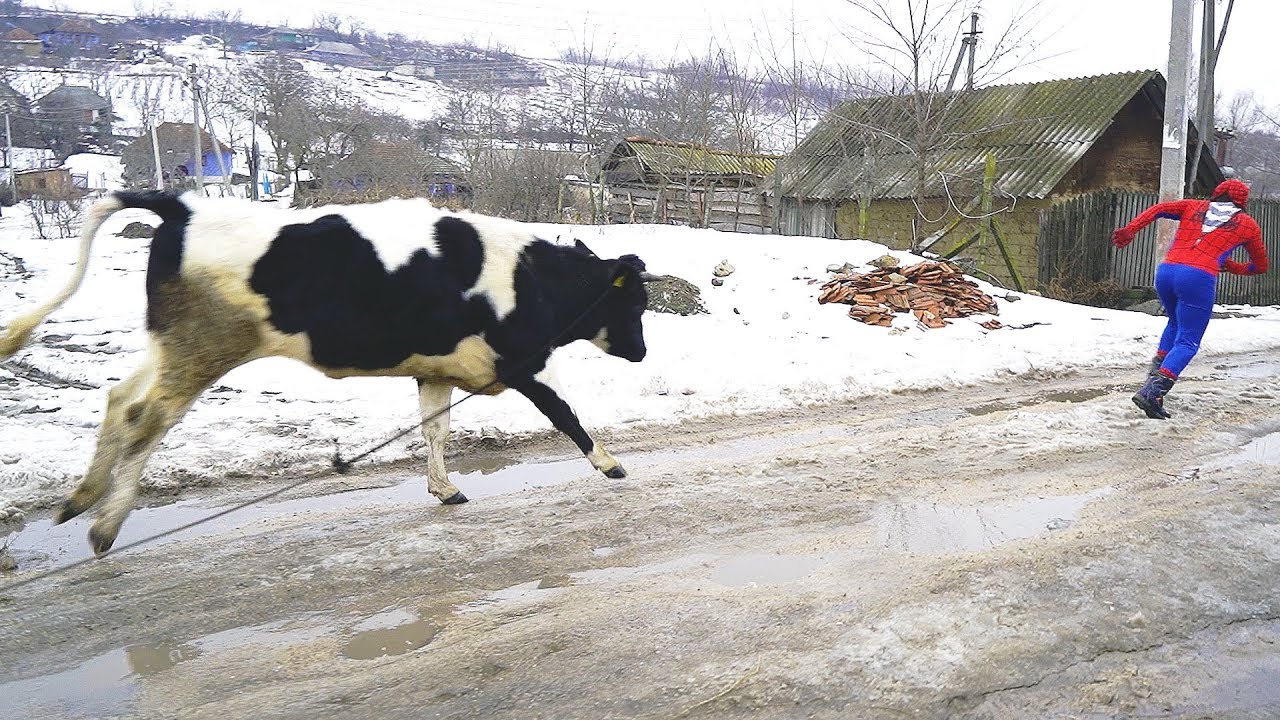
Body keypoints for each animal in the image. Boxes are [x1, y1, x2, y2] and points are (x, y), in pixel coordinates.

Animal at [0, 191, 656, 556]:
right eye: (636, 302)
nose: (642, 352)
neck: (533, 279)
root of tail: (181, 205)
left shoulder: (437, 368)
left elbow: (434, 430)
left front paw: (444, 489)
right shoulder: (525, 362)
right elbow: (566, 415)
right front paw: (611, 464)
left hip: (172, 346)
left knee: (119, 398)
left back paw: (81, 499)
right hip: (202, 348)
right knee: (146, 417)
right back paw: (105, 526)